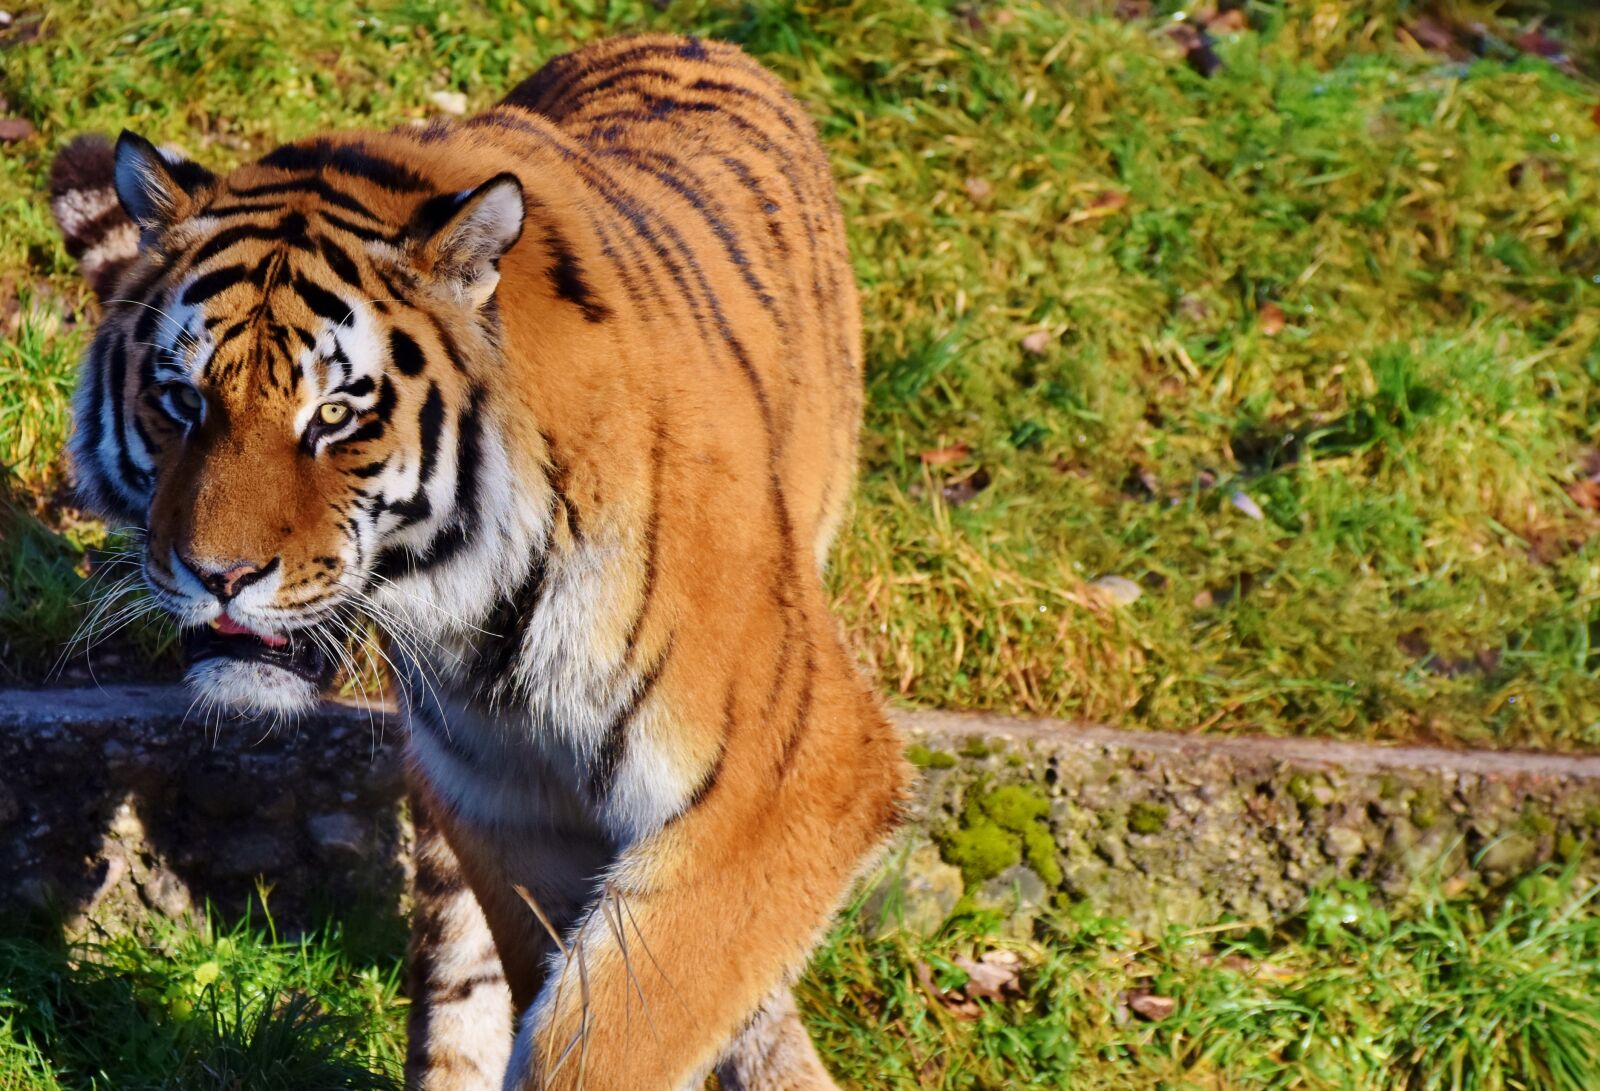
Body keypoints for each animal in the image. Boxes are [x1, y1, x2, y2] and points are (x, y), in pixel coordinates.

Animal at [49, 33, 907, 1091]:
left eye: (336, 414)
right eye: (182, 400)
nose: (221, 576)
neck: (476, 606)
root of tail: (698, 38)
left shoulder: (794, 772)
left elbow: (618, 1021)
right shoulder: (510, 799)